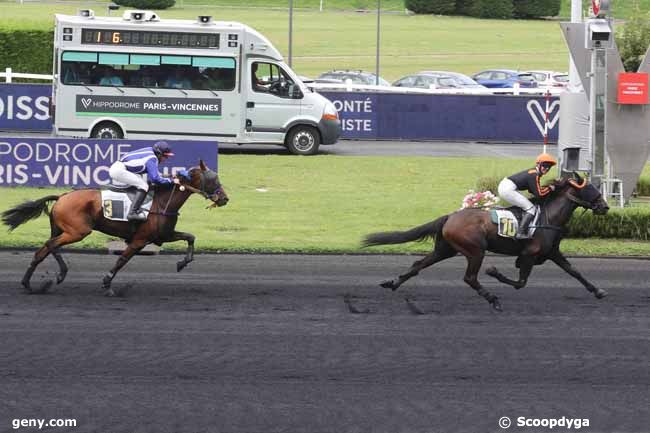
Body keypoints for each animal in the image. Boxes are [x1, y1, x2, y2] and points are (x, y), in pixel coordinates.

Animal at [1, 160, 228, 296]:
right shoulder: (140, 240)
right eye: (213, 179)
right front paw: (107, 284)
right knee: (50, 246)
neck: (162, 203)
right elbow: (122, 260)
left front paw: (182, 263)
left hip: (62, 230)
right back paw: (53, 276)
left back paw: (35, 282)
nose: (225, 199)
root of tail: (62, 196)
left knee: (45, 249)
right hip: (77, 231)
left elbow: (190, 237)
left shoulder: (163, 235)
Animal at [362, 172, 612, 310]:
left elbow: (574, 272)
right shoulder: (529, 254)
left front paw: (598, 291)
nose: (605, 206)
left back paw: (392, 283)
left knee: (417, 265)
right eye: (591, 188)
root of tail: (450, 216)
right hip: (475, 250)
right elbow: (520, 282)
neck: (548, 217)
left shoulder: (552, 253)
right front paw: (494, 272)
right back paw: (493, 299)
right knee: (470, 278)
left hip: (446, 249)